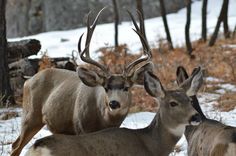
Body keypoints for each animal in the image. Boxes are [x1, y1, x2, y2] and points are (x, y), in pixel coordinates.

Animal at [10, 8, 153, 156]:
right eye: (106, 87)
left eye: (126, 87)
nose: (113, 103)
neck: (103, 120)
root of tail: (28, 81)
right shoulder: (80, 127)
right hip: (30, 115)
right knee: (16, 146)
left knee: (15, 144)